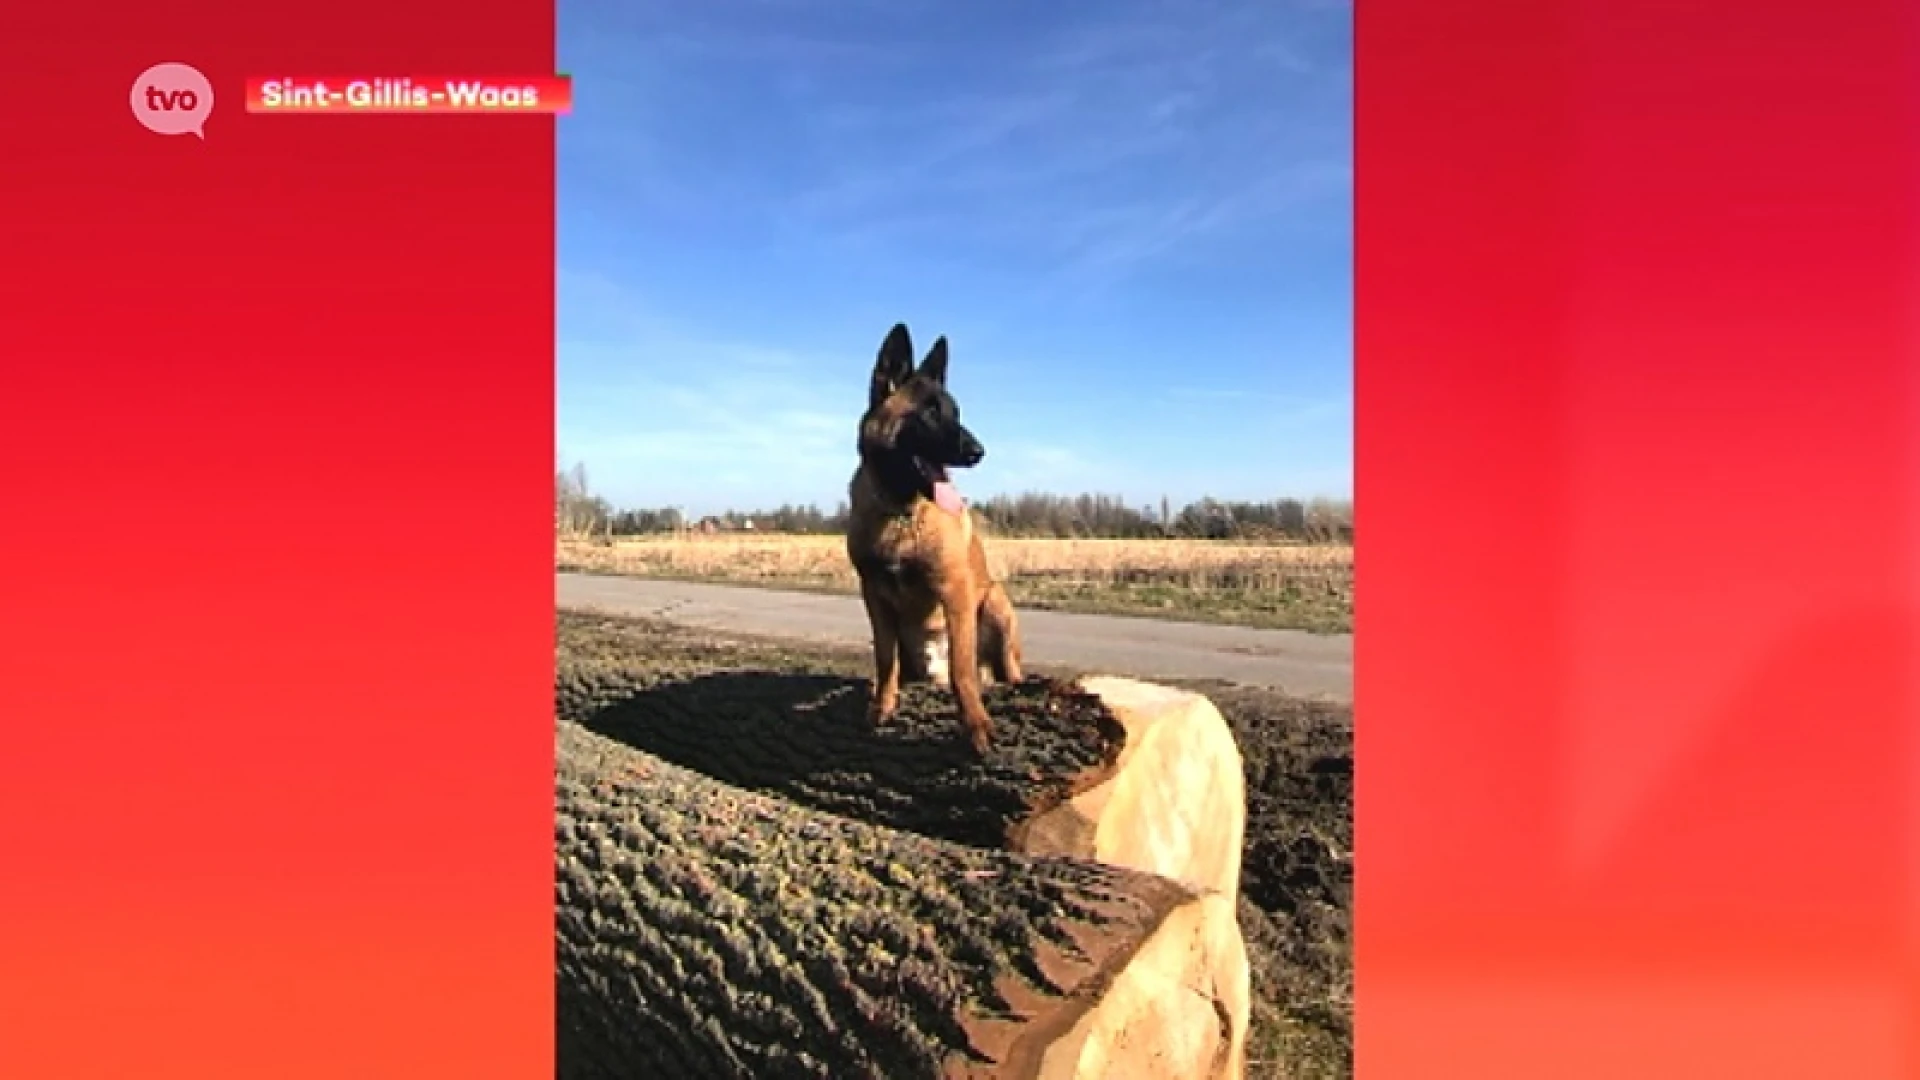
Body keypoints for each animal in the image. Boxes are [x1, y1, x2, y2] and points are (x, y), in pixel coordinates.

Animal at [844, 322, 1021, 753]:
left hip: (996, 602)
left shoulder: (954, 590)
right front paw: (882, 708)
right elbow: (885, 661)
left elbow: (962, 668)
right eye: (928, 412)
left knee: (1005, 670)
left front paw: (976, 725)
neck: (901, 512)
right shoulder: (873, 596)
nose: (978, 452)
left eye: (956, 413)